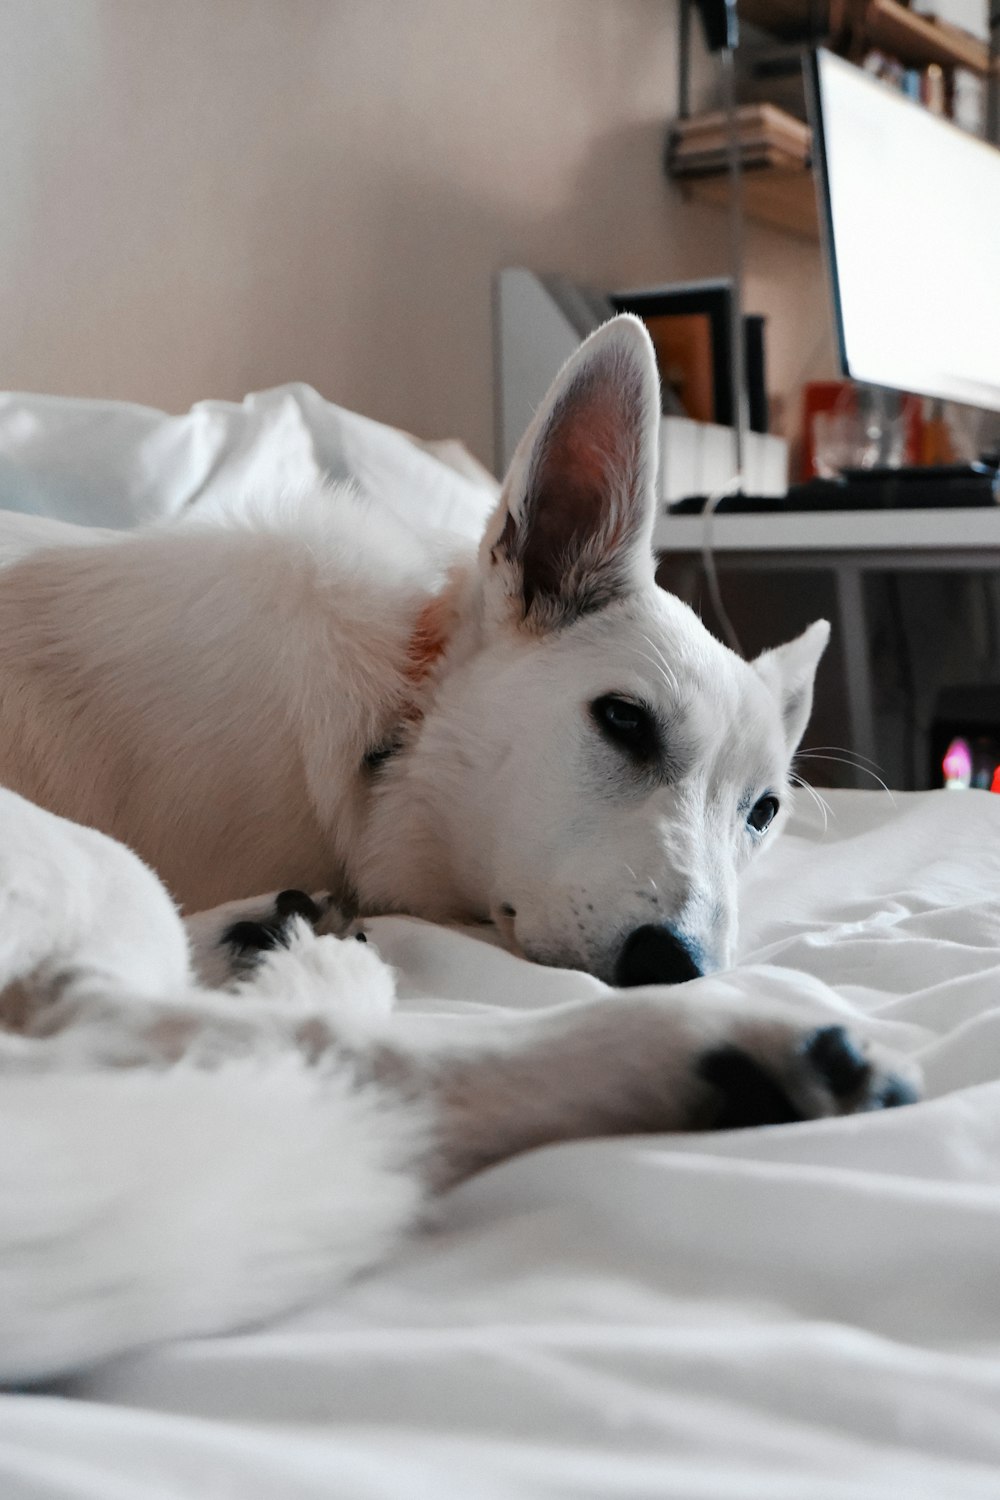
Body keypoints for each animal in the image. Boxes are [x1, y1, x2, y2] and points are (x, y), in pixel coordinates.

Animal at [0, 319, 923, 1380]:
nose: (677, 964)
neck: (388, 730)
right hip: (94, 866)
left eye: (763, 812)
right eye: (623, 720)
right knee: (134, 1025)